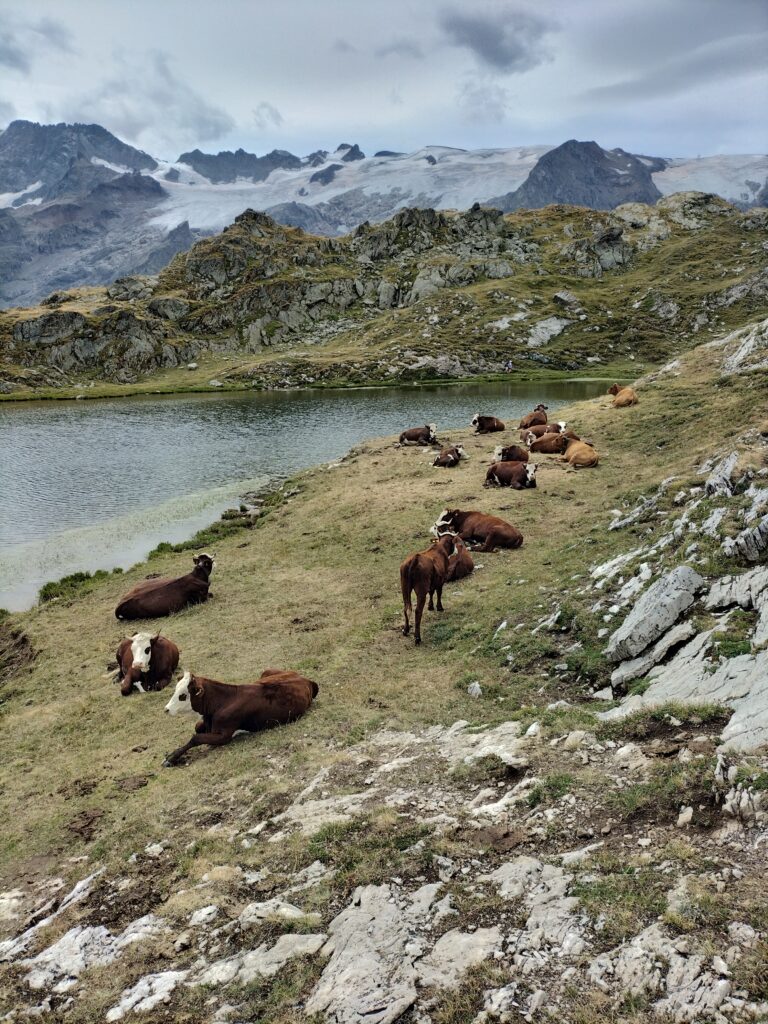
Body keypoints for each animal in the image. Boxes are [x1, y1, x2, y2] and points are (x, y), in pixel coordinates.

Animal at [163, 669, 318, 766]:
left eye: (182, 695)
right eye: (175, 690)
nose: (166, 709)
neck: (223, 701)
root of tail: (305, 679)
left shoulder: (224, 735)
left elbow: (196, 738)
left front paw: (171, 758)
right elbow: (197, 728)